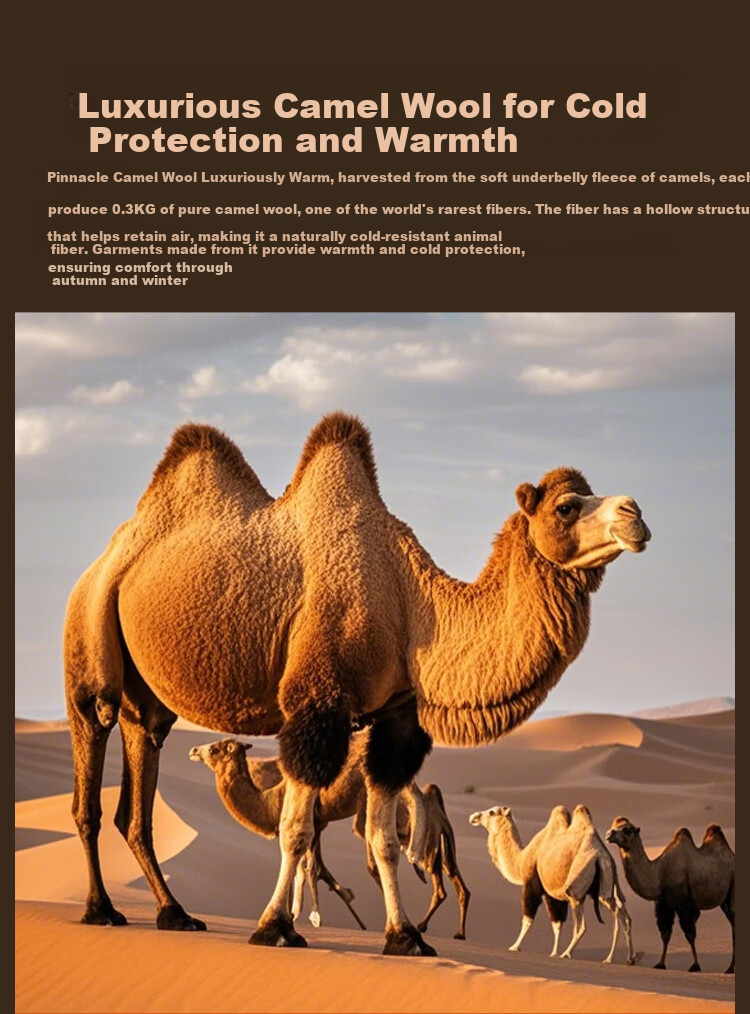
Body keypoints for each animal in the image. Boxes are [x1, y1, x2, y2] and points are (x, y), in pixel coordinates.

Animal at [190, 736, 471, 939]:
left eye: (214, 749)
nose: (193, 750)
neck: (271, 800)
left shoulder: (309, 820)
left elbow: (307, 868)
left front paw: (304, 917)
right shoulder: (319, 822)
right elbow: (311, 869)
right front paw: (299, 915)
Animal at [470, 804, 637, 964]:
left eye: (492, 812)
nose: (474, 817)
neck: (521, 859)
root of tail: (602, 856)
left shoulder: (532, 884)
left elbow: (528, 918)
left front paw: (515, 946)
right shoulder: (553, 893)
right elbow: (557, 923)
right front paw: (553, 953)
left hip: (576, 890)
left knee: (583, 925)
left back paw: (569, 954)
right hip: (607, 886)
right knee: (623, 914)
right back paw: (625, 958)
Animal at [606, 817, 735, 973]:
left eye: (627, 830)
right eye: (613, 826)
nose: (609, 834)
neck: (659, 872)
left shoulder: (682, 902)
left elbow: (689, 933)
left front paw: (695, 965)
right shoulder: (663, 903)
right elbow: (665, 933)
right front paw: (660, 964)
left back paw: (730, 968)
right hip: (724, 900)